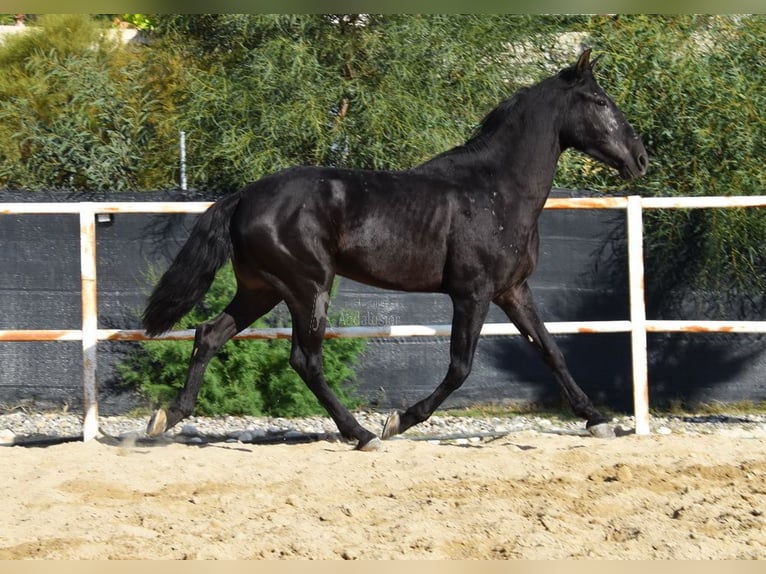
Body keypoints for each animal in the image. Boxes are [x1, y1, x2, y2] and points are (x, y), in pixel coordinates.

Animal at [142, 49, 648, 452]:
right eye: (600, 102)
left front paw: (598, 420)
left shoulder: (513, 290)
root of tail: (244, 196)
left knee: (209, 334)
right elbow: (460, 367)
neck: (497, 190)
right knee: (305, 360)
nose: (640, 158)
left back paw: (166, 417)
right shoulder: (473, 292)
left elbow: (550, 351)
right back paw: (362, 434)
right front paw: (398, 420)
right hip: (308, 287)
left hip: (261, 289)